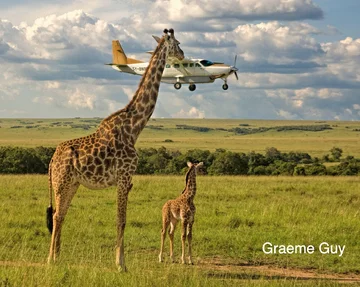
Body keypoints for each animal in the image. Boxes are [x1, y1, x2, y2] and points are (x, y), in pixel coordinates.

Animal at [46, 29, 184, 272]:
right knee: (56, 216)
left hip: (72, 183)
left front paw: (120, 262)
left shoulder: (127, 180)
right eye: (176, 43)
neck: (134, 127)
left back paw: (57, 257)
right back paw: (51, 259)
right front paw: (121, 264)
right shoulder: (124, 176)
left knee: (60, 215)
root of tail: (52, 160)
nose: (183, 54)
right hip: (61, 183)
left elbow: (121, 219)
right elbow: (122, 220)